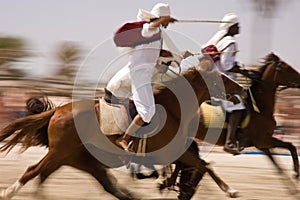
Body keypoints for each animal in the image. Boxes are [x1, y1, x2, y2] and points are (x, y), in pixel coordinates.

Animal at [0, 62, 244, 198]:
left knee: (44, 176)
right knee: (33, 171)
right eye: (221, 77)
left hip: (70, 157)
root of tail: (58, 110)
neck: (174, 109)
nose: (241, 87)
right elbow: (204, 166)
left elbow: (199, 165)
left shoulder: (174, 154)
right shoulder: (175, 152)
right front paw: (231, 190)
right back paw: (9, 192)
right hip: (59, 152)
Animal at [161, 52, 300, 194]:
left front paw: (294, 182)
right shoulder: (263, 141)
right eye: (288, 68)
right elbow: (289, 149)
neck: (259, 108)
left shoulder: (263, 145)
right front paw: (296, 174)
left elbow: (283, 160)